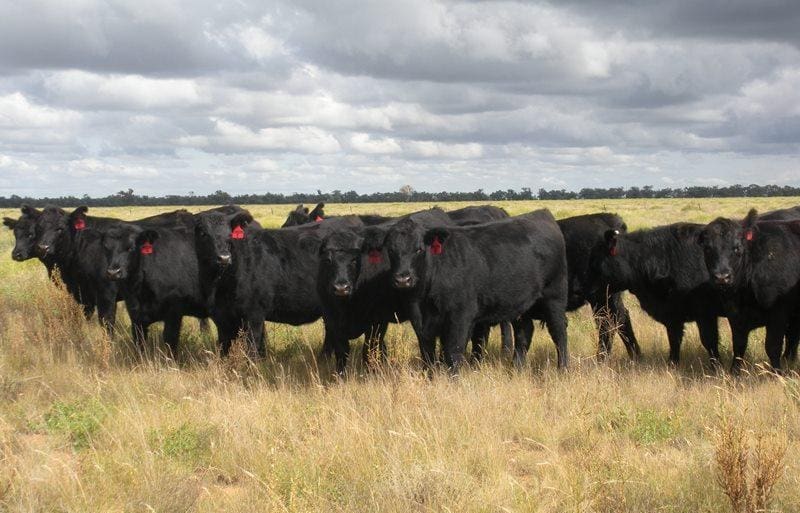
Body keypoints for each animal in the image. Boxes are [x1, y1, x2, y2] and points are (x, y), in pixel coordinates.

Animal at [362, 209, 568, 372]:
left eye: (419, 249)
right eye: (390, 250)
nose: (403, 279)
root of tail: (542, 214)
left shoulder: (460, 316)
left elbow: (453, 352)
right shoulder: (420, 320)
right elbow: (427, 353)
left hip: (554, 296)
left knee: (559, 331)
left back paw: (563, 369)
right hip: (522, 303)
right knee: (524, 332)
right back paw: (516, 369)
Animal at [692, 208, 800, 372]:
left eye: (737, 248)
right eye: (708, 249)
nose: (722, 277)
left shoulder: (778, 312)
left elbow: (772, 346)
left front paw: (777, 373)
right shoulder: (735, 314)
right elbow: (739, 345)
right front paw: (735, 372)